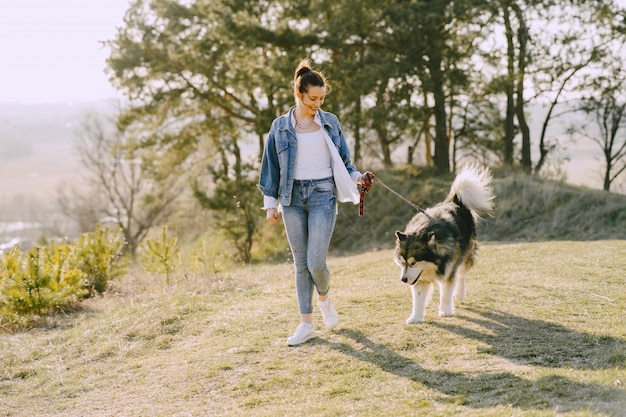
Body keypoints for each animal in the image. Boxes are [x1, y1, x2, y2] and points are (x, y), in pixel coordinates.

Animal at [394, 164, 492, 324]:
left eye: (413, 263)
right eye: (402, 262)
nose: (403, 280)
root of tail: (454, 201)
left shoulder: (448, 271)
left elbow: (446, 292)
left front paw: (445, 310)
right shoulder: (419, 278)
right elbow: (418, 299)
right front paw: (416, 317)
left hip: (465, 255)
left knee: (461, 275)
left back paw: (459, 293)